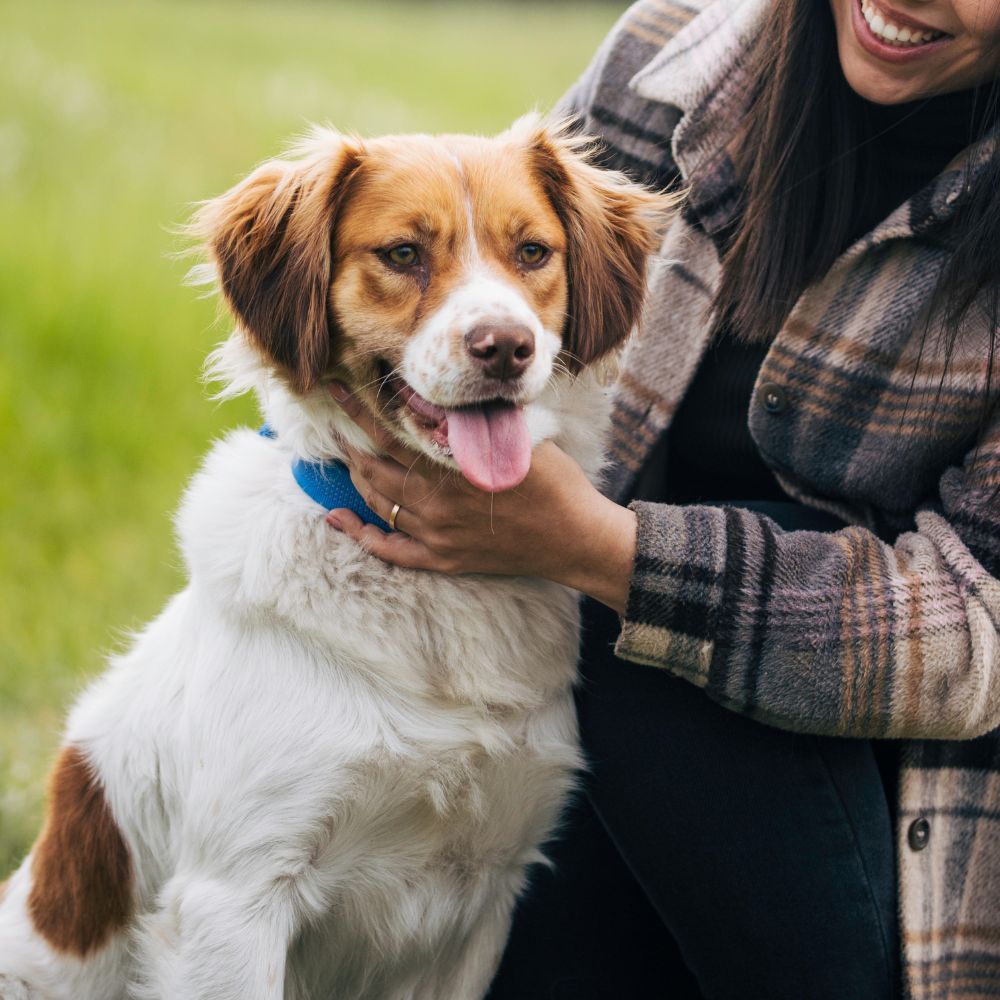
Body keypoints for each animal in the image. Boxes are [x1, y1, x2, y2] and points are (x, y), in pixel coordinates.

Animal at [1, 119, 672, 1000]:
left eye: (532, 251)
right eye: (402, 253)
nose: (506, 347)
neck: (433, 597)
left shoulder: (485, 897)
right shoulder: (235, 899)